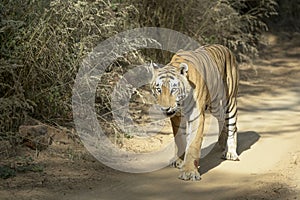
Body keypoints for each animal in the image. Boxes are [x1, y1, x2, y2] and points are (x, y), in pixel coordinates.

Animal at [148, 44, 239, 181]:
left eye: (173, 89)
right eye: (159, 89)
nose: (165, 108)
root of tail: (226, 48)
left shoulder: (195, 115)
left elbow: (193, 143)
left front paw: (189, 172)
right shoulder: (177, 116)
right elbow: (180, 139)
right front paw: (180, 161)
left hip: (230, 100)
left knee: (232, 126)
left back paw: (230, 152)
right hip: (214, 105)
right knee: (222, 118)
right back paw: (223, 143)